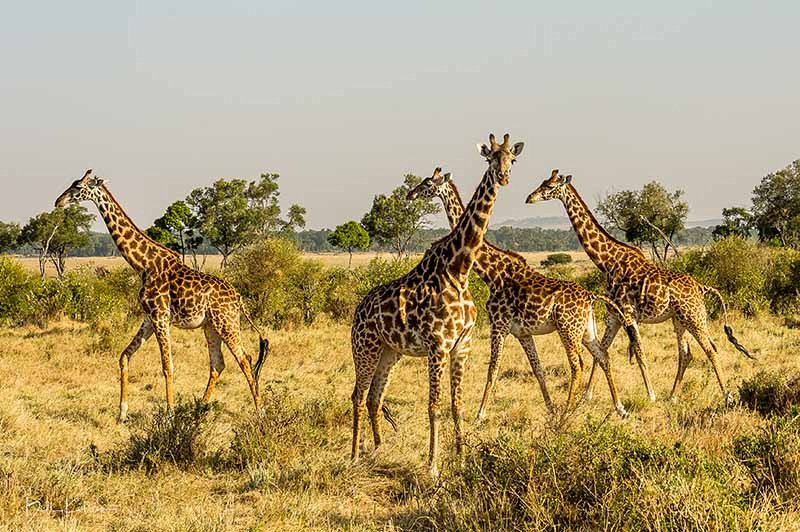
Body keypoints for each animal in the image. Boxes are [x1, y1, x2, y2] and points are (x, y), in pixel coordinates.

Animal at [56, 169, 270, 420]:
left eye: (78, 187)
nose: (58, 202)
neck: (143, 264)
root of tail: (239, 299)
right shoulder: (149, 318)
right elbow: (124, 356)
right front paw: (122, 412)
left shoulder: (160, 316)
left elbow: (167, 366)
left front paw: (169, 413)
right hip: (211, 326)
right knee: (218, 364)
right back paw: (199, 408)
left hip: (226, 322)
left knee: (245, 359)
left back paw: (260, 411)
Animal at [350, 133, 524, 478]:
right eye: (490, 159)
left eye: (512, 159)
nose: (503, 178)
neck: (459, 269)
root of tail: (356, 314)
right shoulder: (438, 346)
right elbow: (434, 405)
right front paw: (432, 466)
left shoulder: (462, 345)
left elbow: (457, 404)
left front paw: (461, 458)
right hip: (365, 349)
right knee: (358, 397)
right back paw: (353, 456)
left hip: (390, 352)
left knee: (375, 397)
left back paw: (378, 451)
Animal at [410, 170, 636, 420]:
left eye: (427, 184)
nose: (411, 194)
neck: (492, 272)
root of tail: (591, 297)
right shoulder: (523, 333)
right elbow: (538, 369)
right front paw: (550, 409)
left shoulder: (498, 323)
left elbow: (493, 368)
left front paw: (480, 414)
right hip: (586, 330)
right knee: (602, 356)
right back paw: (619, 408)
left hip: (567, 329)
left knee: (577, 364)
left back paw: (568, 412)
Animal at [528, 170, 752, 404]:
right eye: (543, 182)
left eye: (549, 186)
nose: (530, 198)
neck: (607, 262)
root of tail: (702, 286)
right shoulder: (613, 316)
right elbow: (602, 352)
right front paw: (586, 397)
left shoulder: (628, 314)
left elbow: (638, 351)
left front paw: (651, 395)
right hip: (679, 319)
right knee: (686, 354)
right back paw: (672, 397)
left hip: (694, 317)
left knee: (711, 349)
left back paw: (727, 397)